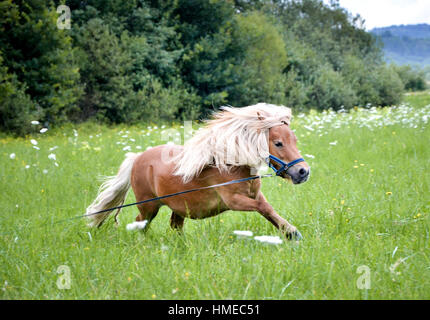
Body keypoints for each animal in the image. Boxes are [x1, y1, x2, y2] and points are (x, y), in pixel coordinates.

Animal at [85, 104, 310, 239]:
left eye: (295, 140)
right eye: (278, 143)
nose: (303, 172)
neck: (232, 165)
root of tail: (137, 158)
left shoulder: (255, 195)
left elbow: (268, 210)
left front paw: (291, 232)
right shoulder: (234, 201)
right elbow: (264, 208)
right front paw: (292, 232)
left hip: (176, 207)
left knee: (174, 225)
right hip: (148, 206)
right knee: (140, 222)